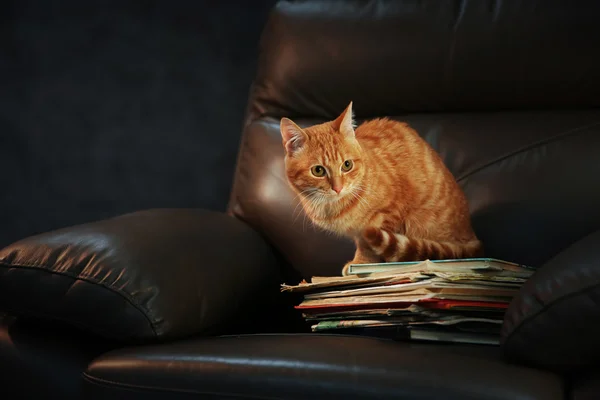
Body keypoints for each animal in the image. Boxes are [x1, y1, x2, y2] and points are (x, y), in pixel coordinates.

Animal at [280, 101, 482, 276]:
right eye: (318, 170)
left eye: (347, 165)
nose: (338, 188)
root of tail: (471, 235)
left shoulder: (386, 215)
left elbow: (369, 245)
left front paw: (363, 263)